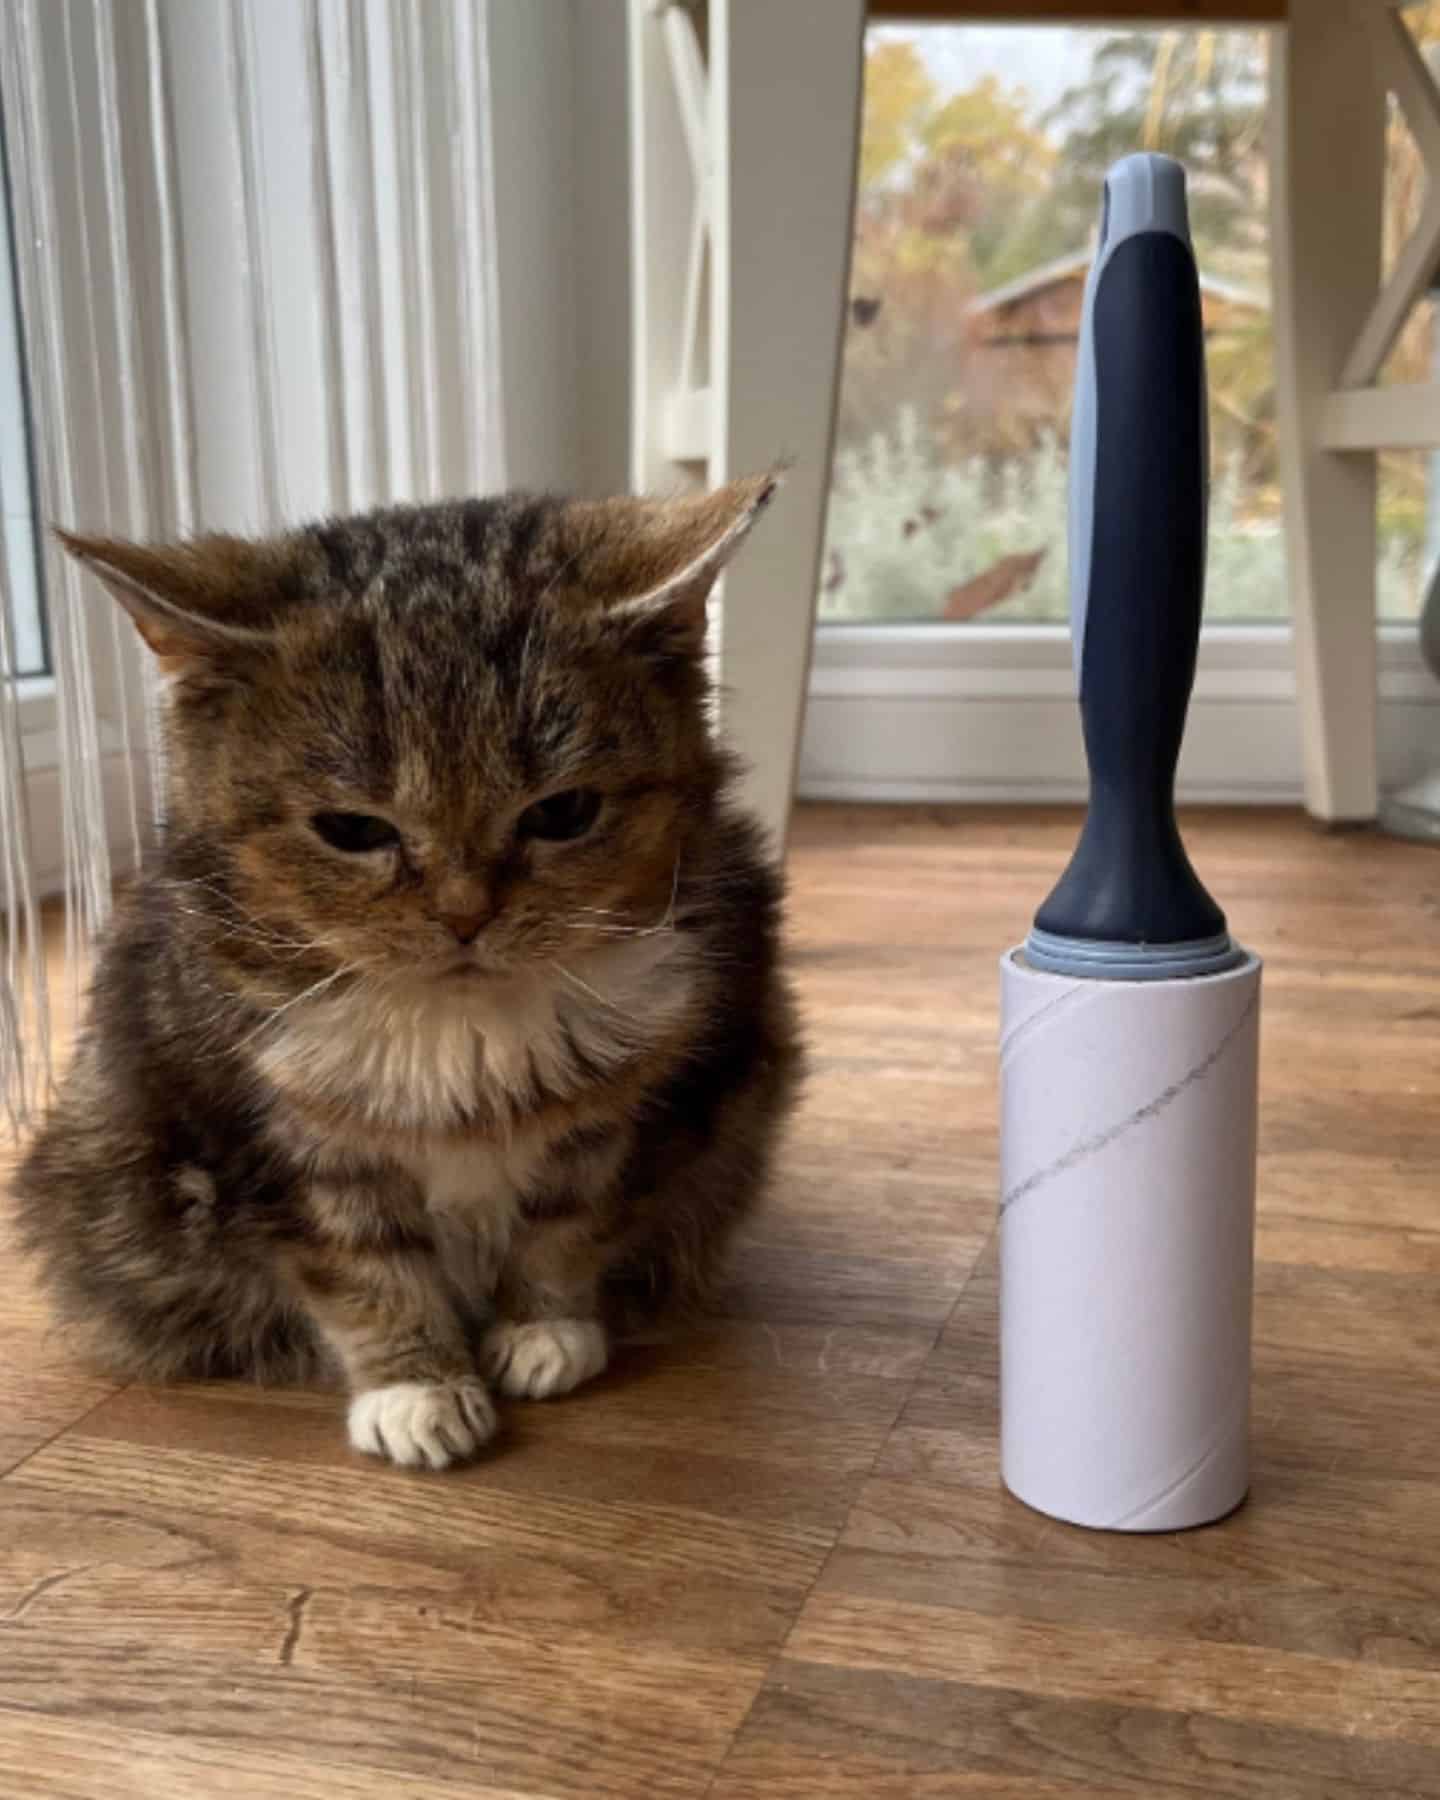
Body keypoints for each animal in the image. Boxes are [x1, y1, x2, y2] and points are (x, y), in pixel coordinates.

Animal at [14, 482, 799, 1476]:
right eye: (353, 829)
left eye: (565, 813)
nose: (465, 915)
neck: (459, 1029)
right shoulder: (269, 1133)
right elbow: (360, 1266)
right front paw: (416, 1386)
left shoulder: (623, 1112)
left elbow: (569, 1219)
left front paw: (544, 1328)